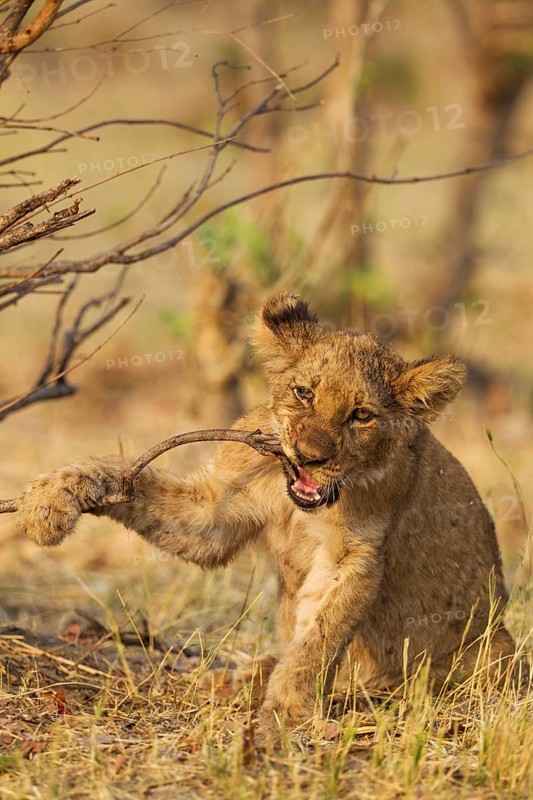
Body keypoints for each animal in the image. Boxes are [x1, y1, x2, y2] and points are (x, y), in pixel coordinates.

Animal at [17, 292, 516, 732]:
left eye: (361, 415)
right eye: (304, 393)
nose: (310, 457)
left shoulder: (354, 556)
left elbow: (319, 636)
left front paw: (289, 709)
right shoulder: (215, 511)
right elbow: (126, 478)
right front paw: (51, 497)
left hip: (494, 648)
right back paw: (228, 679)